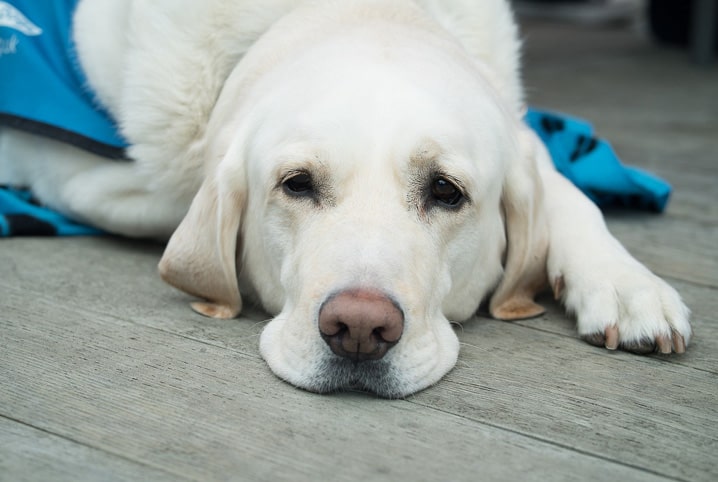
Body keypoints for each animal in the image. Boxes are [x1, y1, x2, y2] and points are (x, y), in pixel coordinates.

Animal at [2, 0, 696, 398]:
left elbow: (567, 194)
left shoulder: (524, 136)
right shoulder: (87, 177)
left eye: (445, 190)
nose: (359, 329)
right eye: (296, 184)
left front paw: (626, 285)